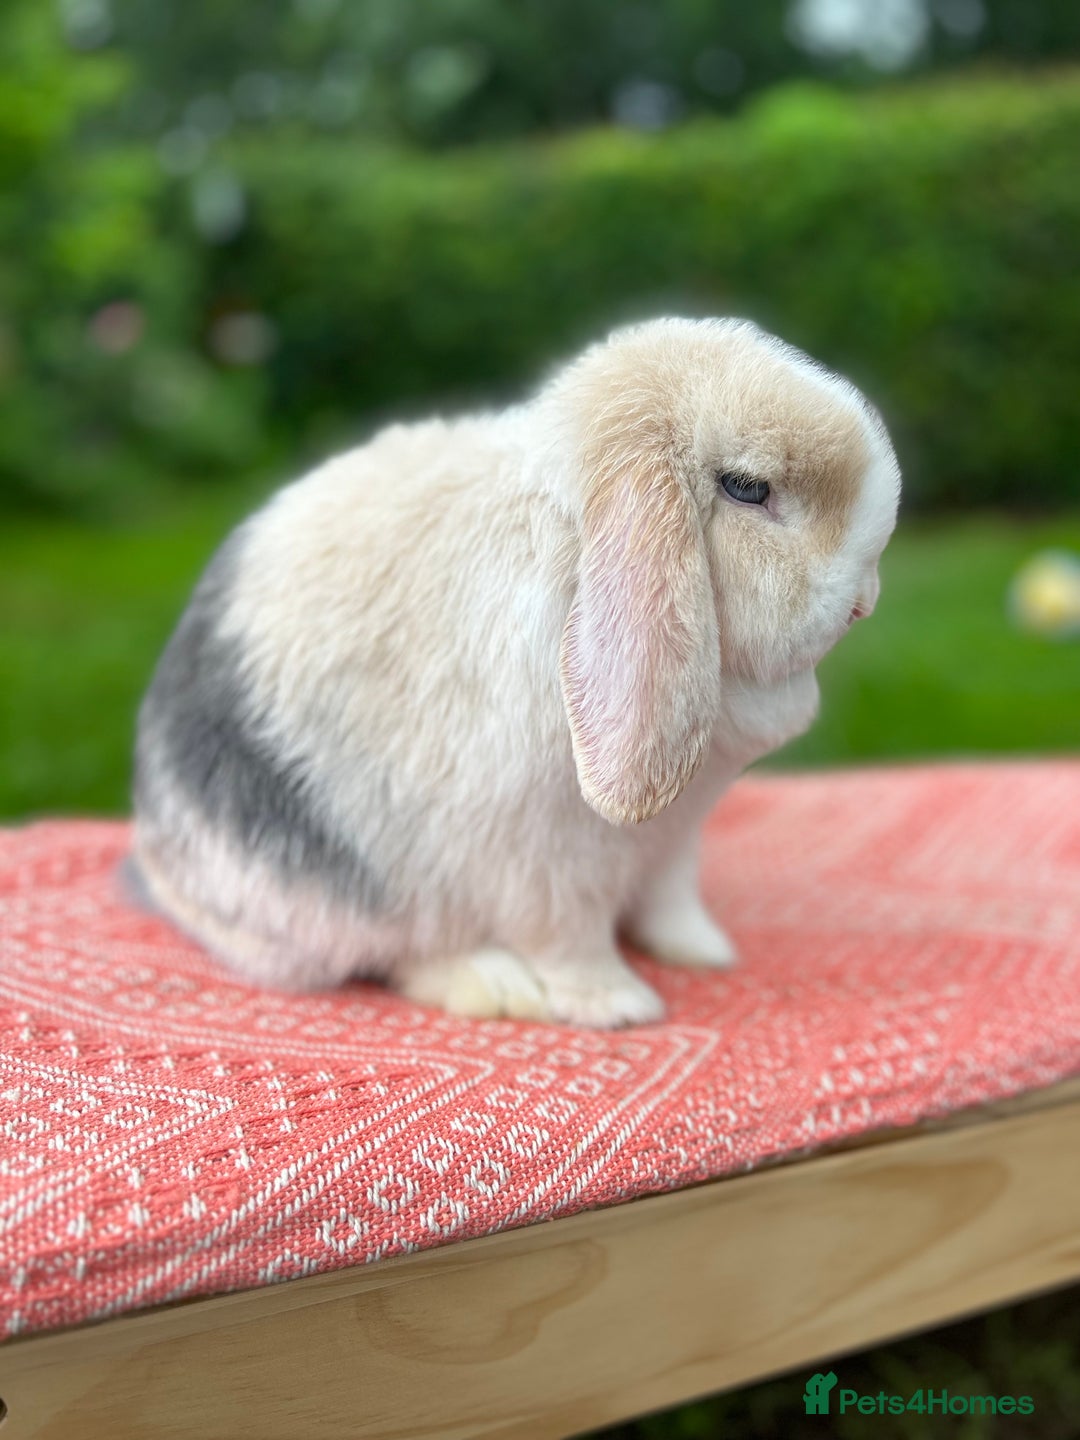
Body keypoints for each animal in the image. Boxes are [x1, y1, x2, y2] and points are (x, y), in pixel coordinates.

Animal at [132, 316, 900, 1029]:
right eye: (747, 488)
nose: (865, 602)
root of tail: (157, 865)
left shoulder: (672, 843)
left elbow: (669, 900)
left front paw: (701, 950)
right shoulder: (545, 859)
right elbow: (569, 938)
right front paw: (617, 1005)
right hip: (346, 900)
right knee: (391, 954)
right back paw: (495, 985)